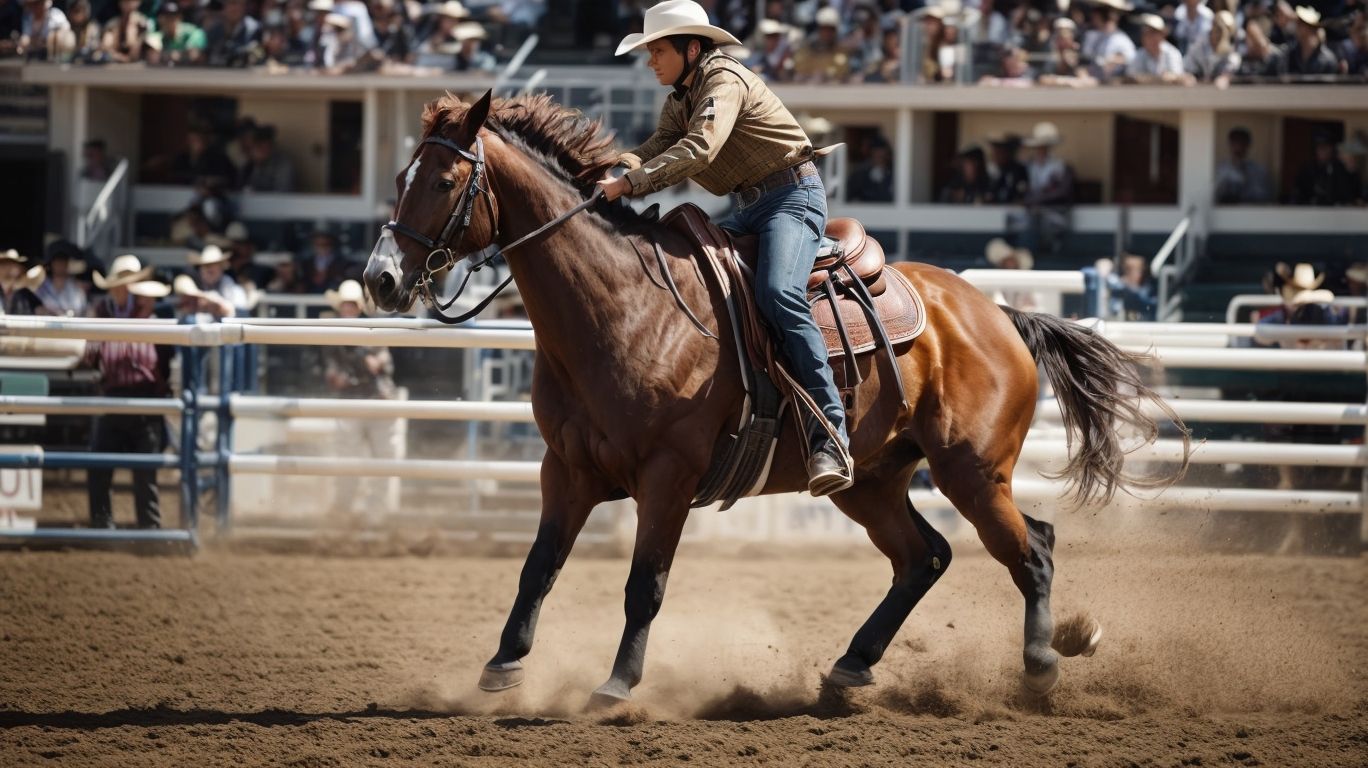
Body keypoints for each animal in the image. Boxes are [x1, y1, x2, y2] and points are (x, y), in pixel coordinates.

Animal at [363, 90, 1186, 708]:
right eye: (401, 176)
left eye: (444, 182)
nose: (380, 279)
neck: (623, 306)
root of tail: (995, 314)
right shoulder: (564, 469)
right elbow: (538, 568)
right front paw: (502, 666)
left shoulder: (668, 477)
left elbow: (644, 585)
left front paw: (618, 685)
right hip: (871, 480)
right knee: (924, 557)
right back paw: (850, 668)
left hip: (972, 470)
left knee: (1031, 550)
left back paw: (1041, 668)